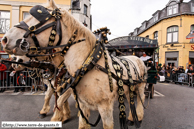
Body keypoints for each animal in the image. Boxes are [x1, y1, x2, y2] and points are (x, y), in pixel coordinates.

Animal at [1, 0, 147, 128]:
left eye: (39, 14)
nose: (5, 39)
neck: (88, 65)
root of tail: (137, 58)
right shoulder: (79, 100)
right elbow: (55, 100)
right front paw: (59, 115)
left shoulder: (104, 106)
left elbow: (59, 100)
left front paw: (57, 118)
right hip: (129, 87)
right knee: (130, 98)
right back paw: (131, 117)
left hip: (140, 86)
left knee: (141, 99)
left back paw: (138, 117)